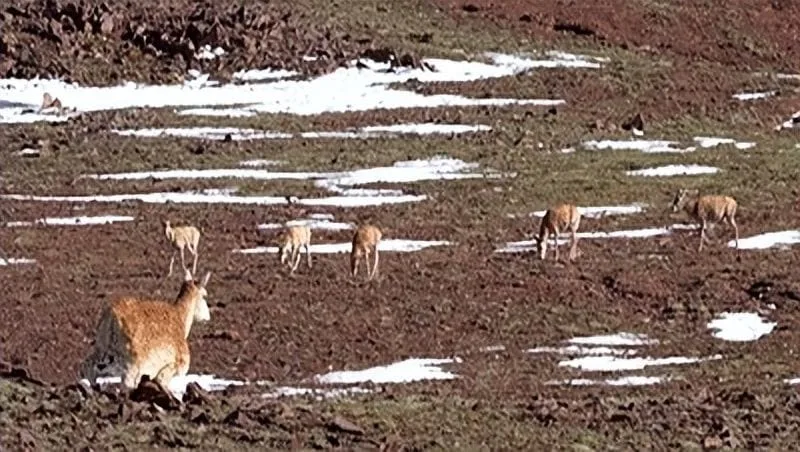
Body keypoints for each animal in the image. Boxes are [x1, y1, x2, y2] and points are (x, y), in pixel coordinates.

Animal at [79, 269, 212, 390]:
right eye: (205, 295)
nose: (208, 316)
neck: (180, 318)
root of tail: (112, 316)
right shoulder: (171, 368)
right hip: (132, 365)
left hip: (104, 352)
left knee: (87, 365)